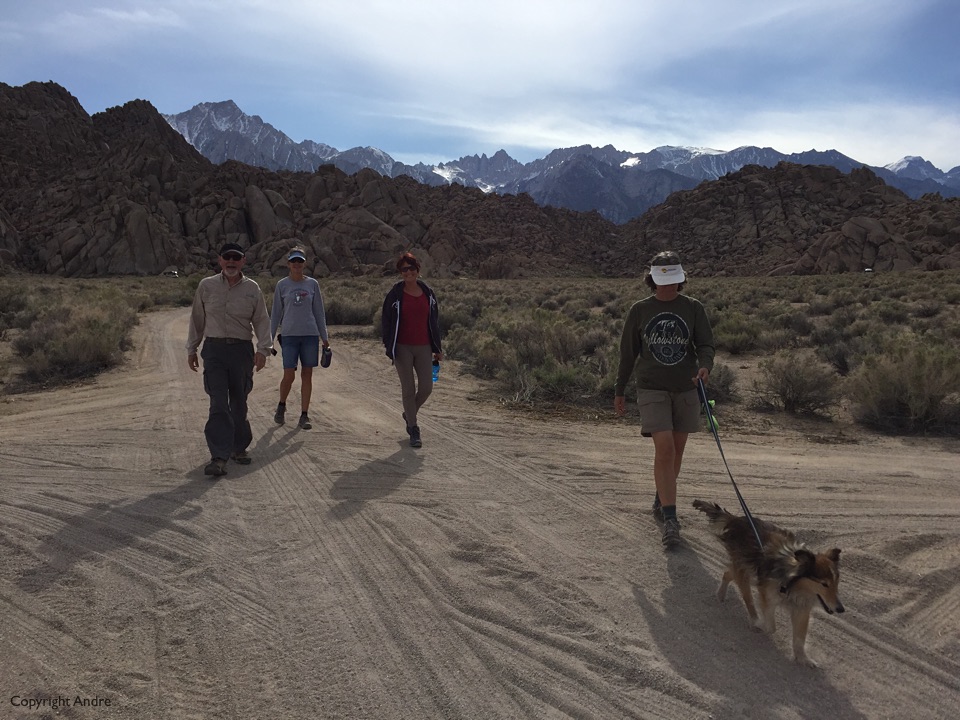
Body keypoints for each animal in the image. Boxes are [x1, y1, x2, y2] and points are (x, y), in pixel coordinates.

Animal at [692, 500, 844, 664]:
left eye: (836, 582)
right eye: (824, 584)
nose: (841, 609)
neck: (792, 584)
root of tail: (737, 520)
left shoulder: (801, 609)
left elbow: (799, 639)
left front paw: (803, 659)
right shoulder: (768, 595)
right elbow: (771, 627)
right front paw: (761, 625)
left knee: (728, 574)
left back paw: (721, 595)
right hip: (743, 568)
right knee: (747, 597)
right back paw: (752, 618)